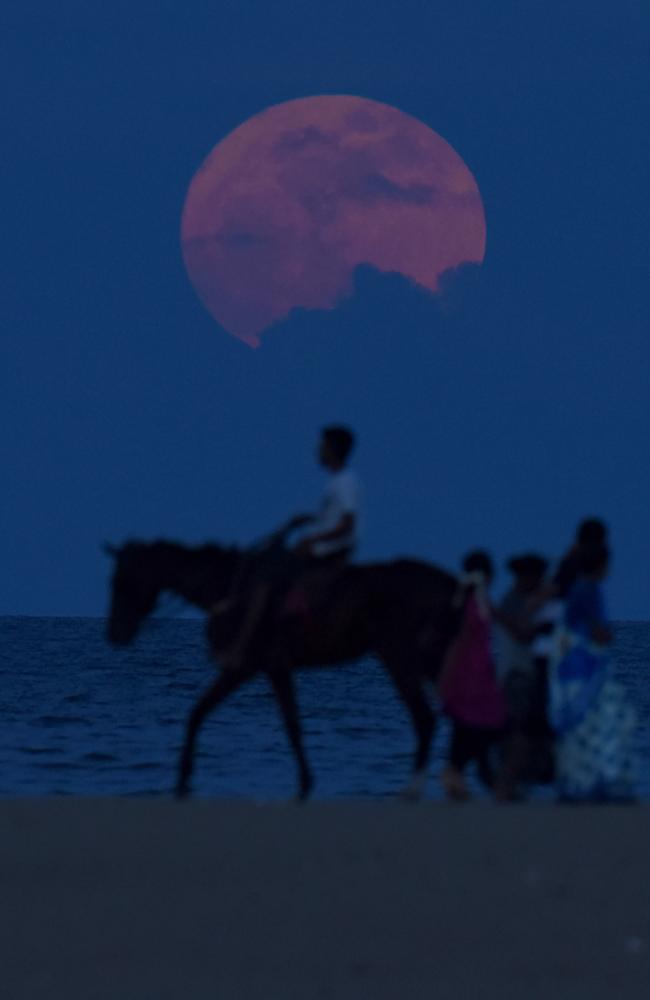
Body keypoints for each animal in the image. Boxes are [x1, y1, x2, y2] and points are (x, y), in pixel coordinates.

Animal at [105, 536, 460, 800]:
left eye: (122, 581)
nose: (115, 633)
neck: (231, 587)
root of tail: (448, 584)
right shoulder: (269, 669)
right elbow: (205, 714)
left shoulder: (252, 667)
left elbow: (283, 724)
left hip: (401, 658)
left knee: (425, 720)